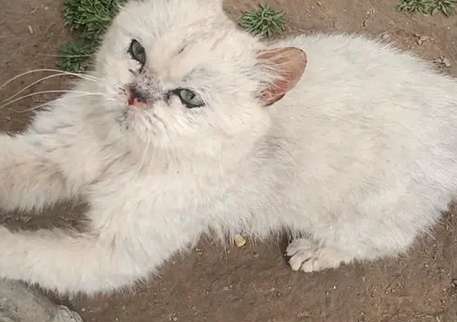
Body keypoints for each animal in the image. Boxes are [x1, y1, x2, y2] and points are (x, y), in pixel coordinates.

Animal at [0, 0, 456, 294]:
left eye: (188, 97)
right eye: (137, 52)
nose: (136, 95)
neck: (125, 151)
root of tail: (442, 93)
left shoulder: (115, 253)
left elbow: (27, 253)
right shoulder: (47, 155)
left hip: (359, 219)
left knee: (375, 243)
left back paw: (313, 252)